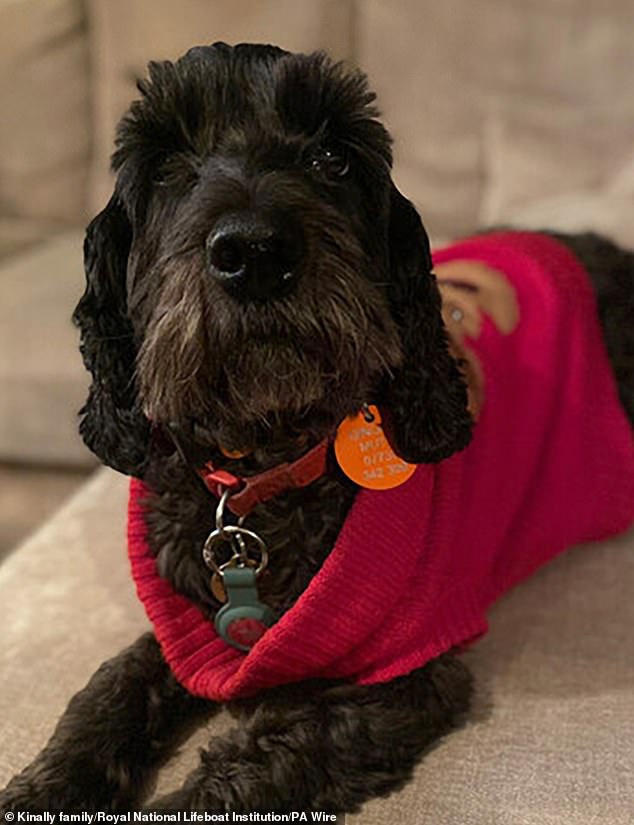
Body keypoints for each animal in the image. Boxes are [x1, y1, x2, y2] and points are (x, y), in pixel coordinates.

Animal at [1, 43, 632, 812]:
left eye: (333, 157)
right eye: (168, 163)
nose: (255, 253)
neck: (261, 474)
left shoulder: (401, 682)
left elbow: (255, 764)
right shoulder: (187, 629)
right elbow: (107, 689)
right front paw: (44, 783)